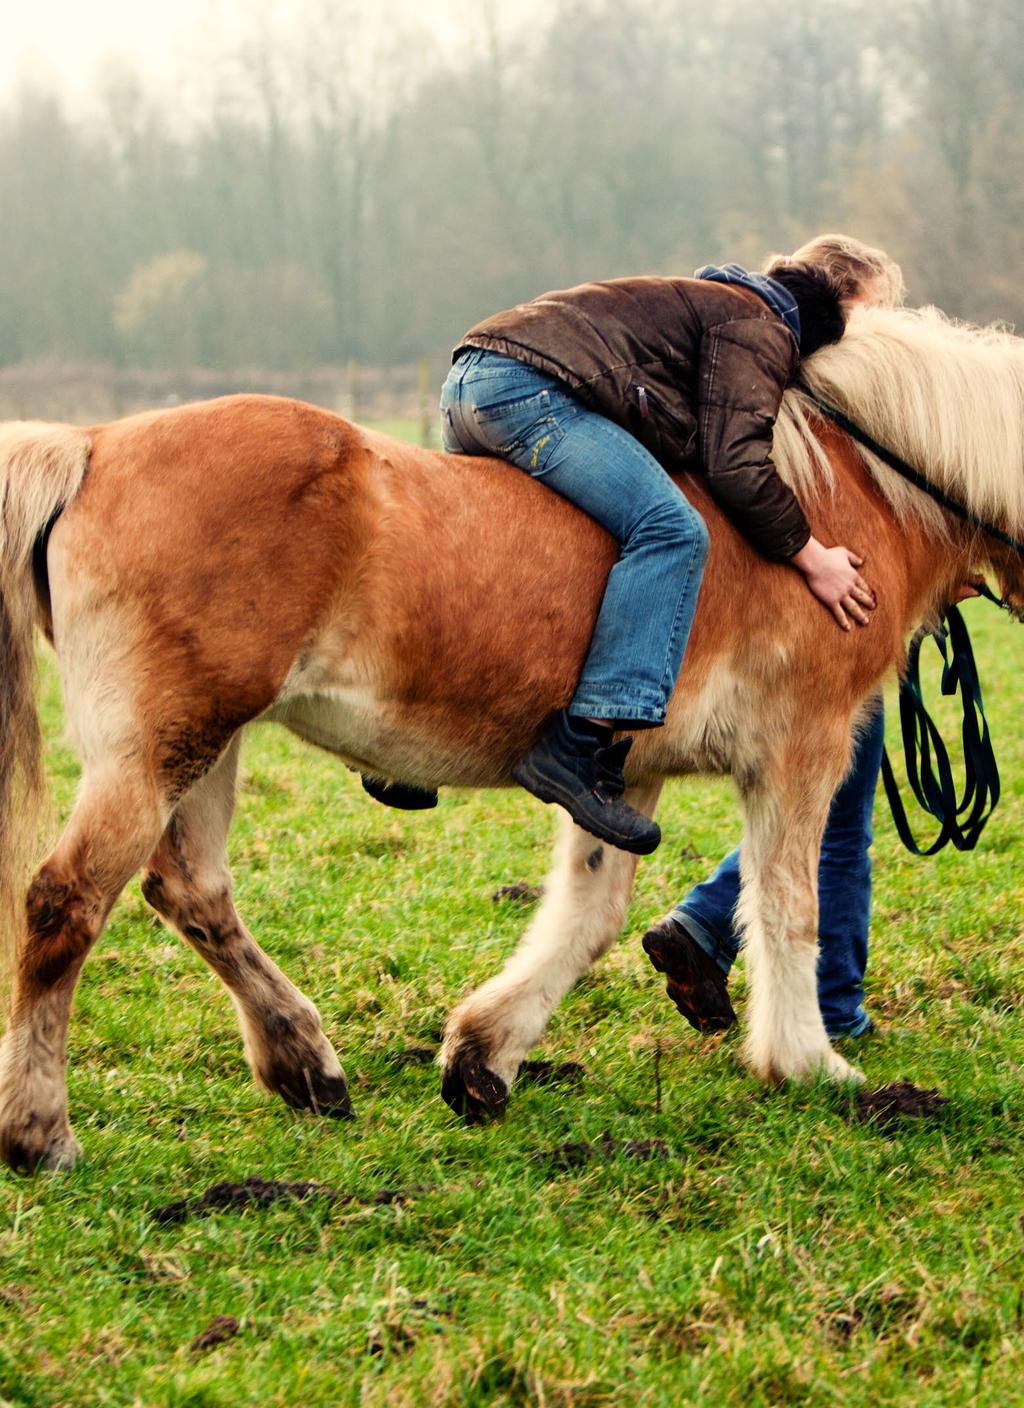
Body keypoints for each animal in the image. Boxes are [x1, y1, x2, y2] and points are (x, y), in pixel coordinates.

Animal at [2, 302, 1024, 1171]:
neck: (848, 494)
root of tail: (91, 446)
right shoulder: (801, 754)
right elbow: (787, 906)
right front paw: (806, 1063)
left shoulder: (620, 779)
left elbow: (588, 915)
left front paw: (482, 1057)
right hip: (161, 748)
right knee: (65, 902)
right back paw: (41, 1132)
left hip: (209, 745)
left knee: (192, 894)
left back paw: (305, 1065)